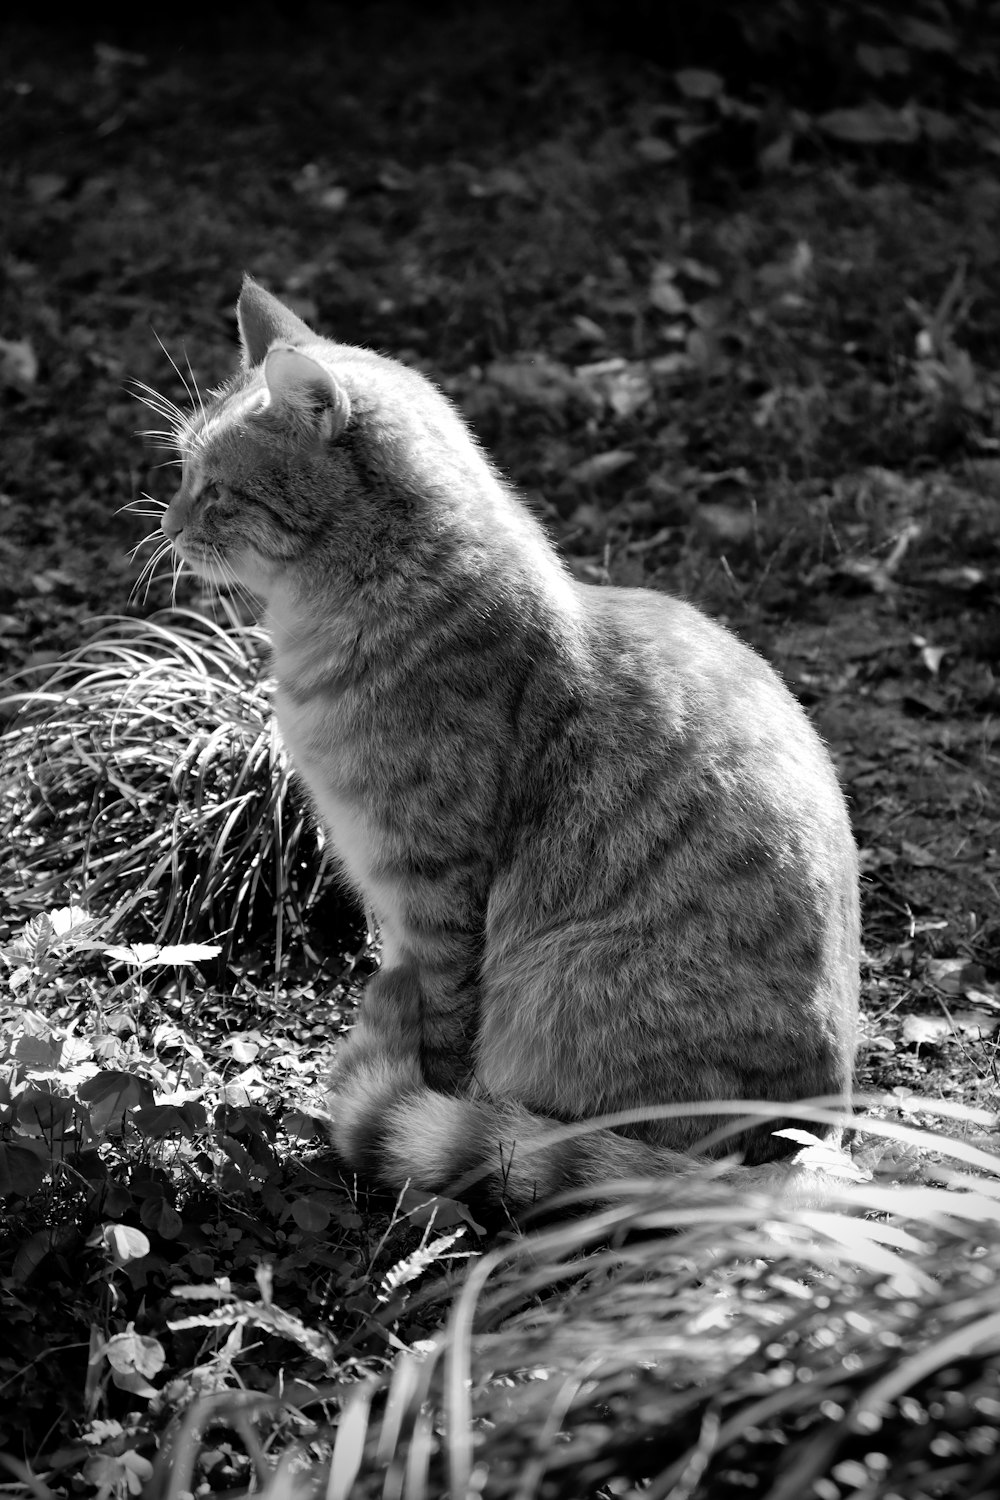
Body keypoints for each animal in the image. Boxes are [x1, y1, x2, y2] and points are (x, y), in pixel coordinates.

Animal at [158, 279, 863, 1218]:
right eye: (182, 471)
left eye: (218, 491)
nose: (167, 525)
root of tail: (804, 1143)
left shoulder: (438, 889)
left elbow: (445, 1033)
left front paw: (413, 1106)